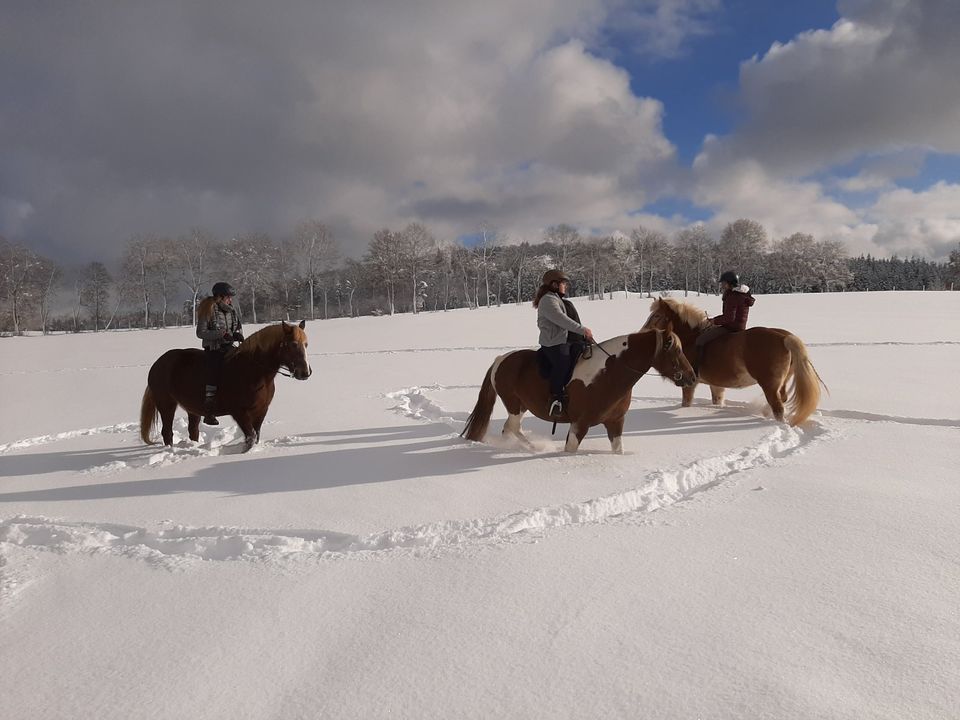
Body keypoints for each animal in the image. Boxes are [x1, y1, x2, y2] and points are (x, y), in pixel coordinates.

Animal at [141, 320, 314, 450]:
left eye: (306, 344)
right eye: (292, 344)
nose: (305, 372)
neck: (254, 372)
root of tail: (157, 364)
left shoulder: (261, 410)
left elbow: (256, 435)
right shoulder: (239, 412)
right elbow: (250, 436)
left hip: (192, 409)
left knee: (193, 431)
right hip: (166, 404)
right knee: (167, 432)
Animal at [462, 328, 692, 452]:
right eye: (676, 350)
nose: (691, 376)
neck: (609, 373)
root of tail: (501, 359)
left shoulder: (615, 423)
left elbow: (618, 449)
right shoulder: (579, 424)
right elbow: (570, 449)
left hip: (521, 406)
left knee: (510, 429)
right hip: (514, 405)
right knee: (511, 427)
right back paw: (535, 448)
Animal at [640, 296, 820, 424]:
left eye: (656, 315)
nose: (642, 334)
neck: (691, 338)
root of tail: (784, 337)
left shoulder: (690, 383)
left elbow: (686, 403)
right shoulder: (716, 385)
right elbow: (717, 401)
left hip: (769, 385)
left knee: (778, 408)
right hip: (781, 383)